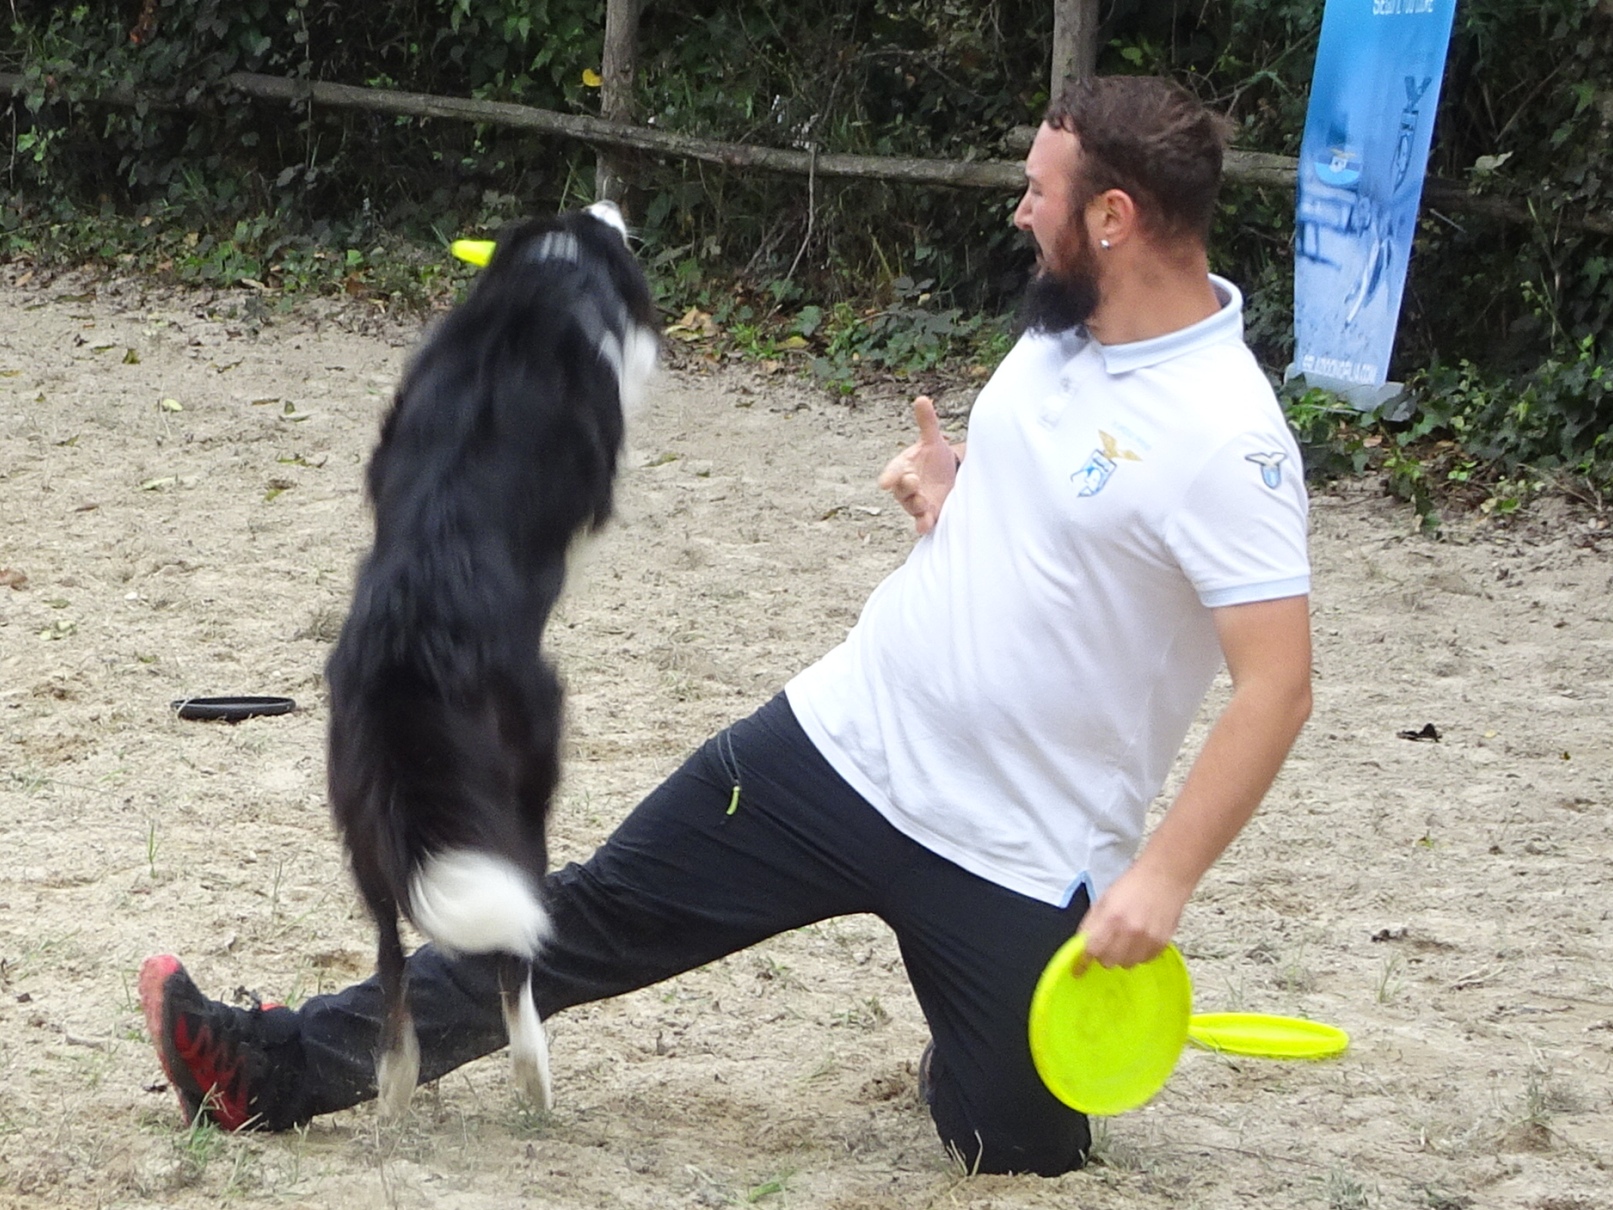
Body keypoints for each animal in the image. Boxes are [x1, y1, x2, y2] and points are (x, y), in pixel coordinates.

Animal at [325, 201, 657, 1120]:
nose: (613, 208)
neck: (540, 283)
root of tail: (408, 651)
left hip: (364, 819)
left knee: (389, 952)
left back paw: (396, 1084)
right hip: (525, 780)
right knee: (513, 955)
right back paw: (531, 1073)